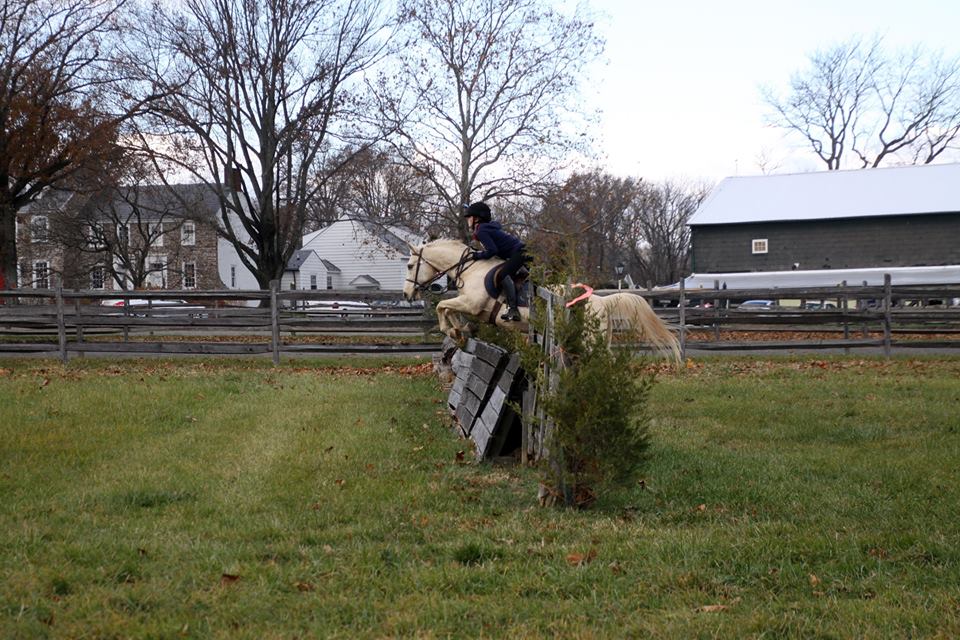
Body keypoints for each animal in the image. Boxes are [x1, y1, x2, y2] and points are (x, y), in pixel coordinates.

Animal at [404, 239, 684, 362]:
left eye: (408, 265)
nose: (407, 295)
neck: (470, 270)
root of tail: (603, 302)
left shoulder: (472, 303)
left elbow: (443, 307)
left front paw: (452, 330)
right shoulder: (471, 306)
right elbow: (449, 310)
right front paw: (460, 330)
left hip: (590, 340)